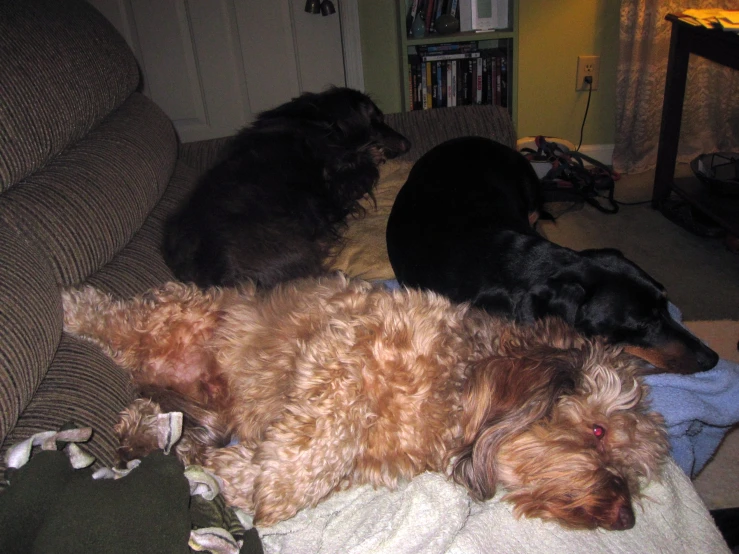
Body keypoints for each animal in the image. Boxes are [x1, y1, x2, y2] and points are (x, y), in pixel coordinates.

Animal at [60, 274, 668, 528]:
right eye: (598, 432)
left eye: (634, 472)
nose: (626, 518)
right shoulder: (345, 347)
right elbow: (317, 444)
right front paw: (277, 492)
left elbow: (257, 462)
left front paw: (236, 476)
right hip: (170, 318)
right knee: (111, 317)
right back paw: (72, 307)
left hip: (199, 402)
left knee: (160, 420)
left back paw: (151, 433)